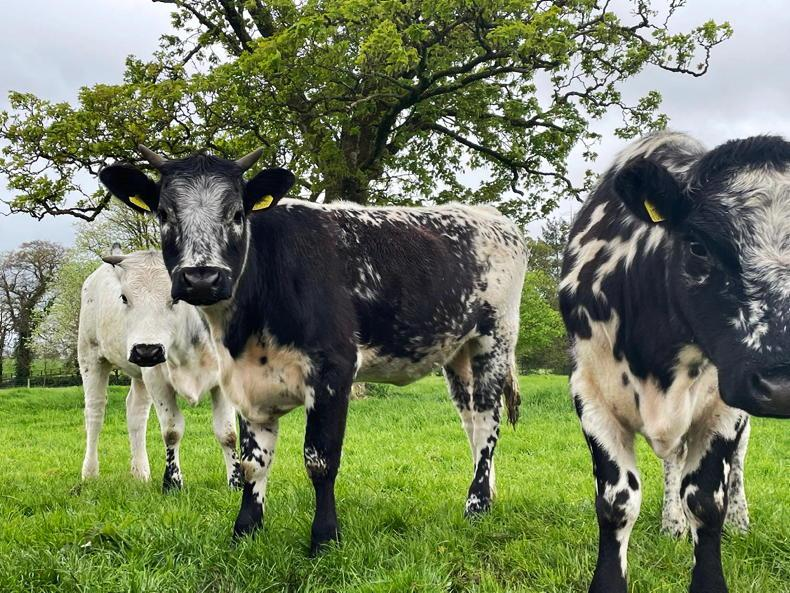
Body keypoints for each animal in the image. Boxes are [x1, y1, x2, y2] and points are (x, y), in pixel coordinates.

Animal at [78, 246, 242, 491]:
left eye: (176, 297)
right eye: (124, 297)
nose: (146, 351)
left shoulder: (223, 382)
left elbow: (228, 433)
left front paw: (236, 483)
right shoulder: (157, 381)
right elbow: (172, 431)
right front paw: (172, 483)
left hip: (140, 375)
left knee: (136, 412)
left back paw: (140, 473)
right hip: (90, 356)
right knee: (95, 413)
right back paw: (89, 473)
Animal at [98, 145, 527, 554]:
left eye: (237, 214)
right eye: (164, 213)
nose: (202, 278)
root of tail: (487, 214)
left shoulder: (333, 371)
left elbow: (320, 460)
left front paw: (324, 538)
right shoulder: (246, 381)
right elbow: (252, 463)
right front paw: (245, 531)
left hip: (495, 340)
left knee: (487, 420)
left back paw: (477, 505)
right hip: (458, 352)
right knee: (470, 422)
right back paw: (488, 492)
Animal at [560, 130, 790, 593]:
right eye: (698, 246)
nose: (781, 384)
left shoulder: (723, 406)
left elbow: (706, 500)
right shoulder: (589, 391)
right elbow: (617, 502)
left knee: (736, 466)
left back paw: (739, 521)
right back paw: (672, 524)